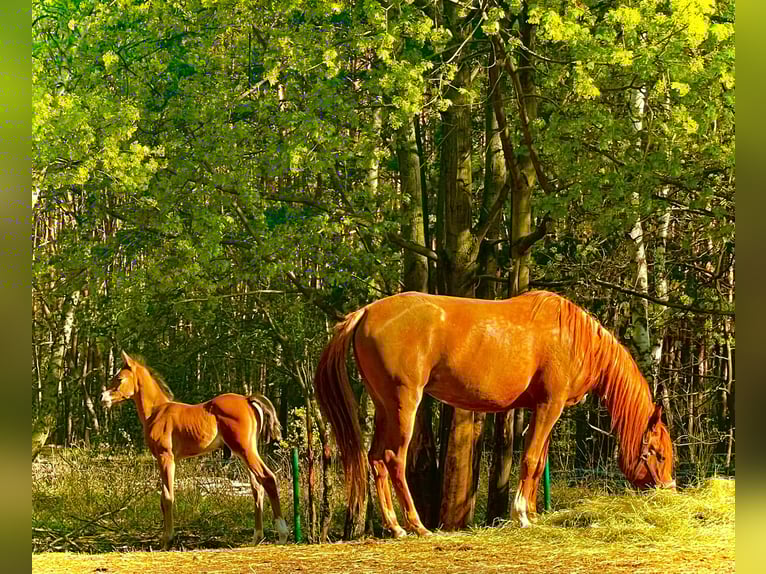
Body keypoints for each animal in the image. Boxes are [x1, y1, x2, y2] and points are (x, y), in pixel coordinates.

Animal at [101, 351, 289, 548]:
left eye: (119, 378)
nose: (103, 398)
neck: (157, 411)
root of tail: (247, 399)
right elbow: (164, 497)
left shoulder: (165, 457)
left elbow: (167, 497)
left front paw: (167, 540)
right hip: (246, 451)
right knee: (257, 486)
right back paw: (256, 538)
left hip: (244, 449)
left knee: (268, 478)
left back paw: (282, 534)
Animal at [314, 290, 675, 538]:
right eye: (656, 453)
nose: (669, 491)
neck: (575, 338)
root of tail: (367, 312)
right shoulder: (550, 406)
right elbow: (530, 460)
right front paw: (522, 516)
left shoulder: (542, 409)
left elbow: (538, 463)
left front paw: (532, 513)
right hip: (404, 405)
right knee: (394, 460)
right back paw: (417, 526)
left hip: (384, 407)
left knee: (376, 459)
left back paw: (395, 527)